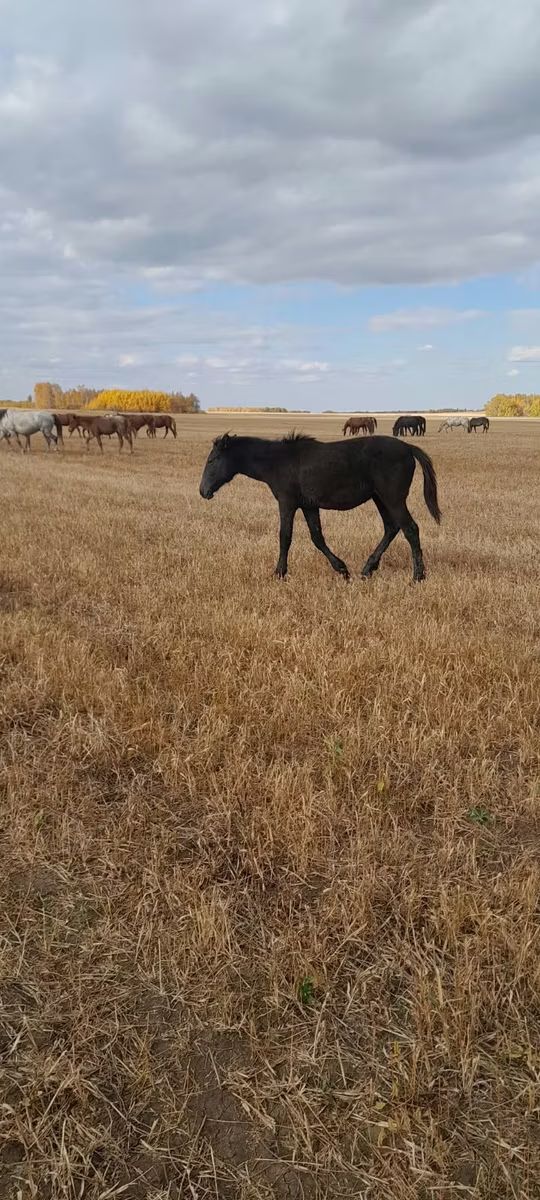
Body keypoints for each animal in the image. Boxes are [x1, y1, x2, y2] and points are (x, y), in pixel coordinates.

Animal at [200, 433, 440, 583]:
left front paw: (279, 573)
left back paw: (418, 577)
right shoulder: (309, 506)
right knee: (391, 528)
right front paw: (342, 570)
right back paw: (367, 569)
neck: (278, 461)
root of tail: (408, 447)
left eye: (211, 461)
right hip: (380, 498)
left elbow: (285, 537)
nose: (202, 491)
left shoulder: (287, 502)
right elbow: (317, 538)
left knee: (410, 529)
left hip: (393, 498)